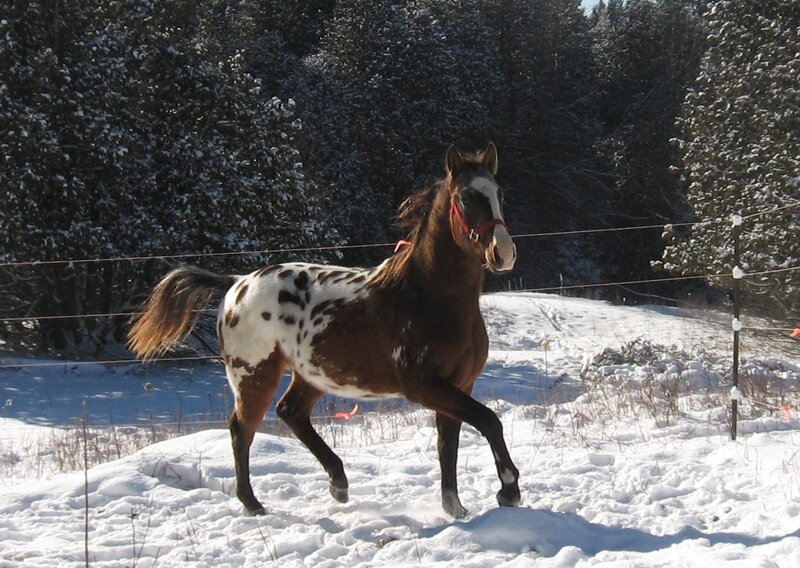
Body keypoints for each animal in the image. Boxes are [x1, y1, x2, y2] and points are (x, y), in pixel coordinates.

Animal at [127, 143, 520, 519]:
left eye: (500, 193)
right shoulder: (424, 386)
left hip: (311, 373)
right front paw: (508, 490)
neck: (426, 296)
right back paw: (253, 504)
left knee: (290, 412)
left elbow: (448, 445)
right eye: (466, 197)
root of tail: (237, 283)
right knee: (242, 429)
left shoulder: (459, 384)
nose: (503, 252)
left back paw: (338, 482)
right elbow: (489, 421)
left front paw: (456, 508)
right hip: (254, 375)